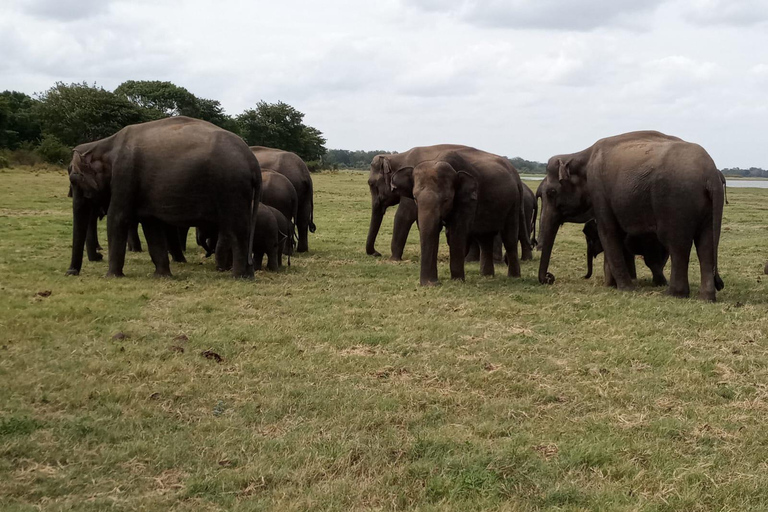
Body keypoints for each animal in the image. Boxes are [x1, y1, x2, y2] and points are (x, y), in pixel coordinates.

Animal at [67, 116, 258, 278]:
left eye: (75, 181)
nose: (70, 272)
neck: (103, 143)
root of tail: (251, 160)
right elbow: (151, 225)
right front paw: (162, 276)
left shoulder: (125, 176)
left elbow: (117, 218)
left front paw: (112, 276)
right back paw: (248, 275)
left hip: (231, 186)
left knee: (237, 228)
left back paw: (238, 276)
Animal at [384, 146, 528, 286]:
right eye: (415, 198)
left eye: (446, 200)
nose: (429, 284)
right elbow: (433, 231)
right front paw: (433, 283)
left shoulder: (468, 198)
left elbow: (457, 232)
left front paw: (457, 280)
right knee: (485, 238)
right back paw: (486, 276)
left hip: (514, 203)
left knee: (509, 237)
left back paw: (513, 277)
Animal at [536, 130, 724, 302]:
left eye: (551, 193)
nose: (549, 278)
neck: (578, 155)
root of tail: (711, 176)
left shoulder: (599, 190)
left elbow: (608, 233)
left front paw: (626, 289)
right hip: (706, 208)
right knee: (706, 245)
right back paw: (706, 298)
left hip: (676, 202)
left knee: (677, 244)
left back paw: (673, 294)